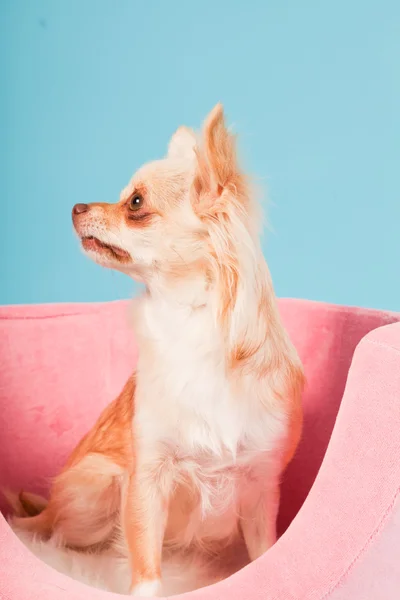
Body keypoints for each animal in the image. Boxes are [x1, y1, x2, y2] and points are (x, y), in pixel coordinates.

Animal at [10, 104, 304, 596]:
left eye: (135, 204)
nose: (75, 206)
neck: (185, 320)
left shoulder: (260, 487)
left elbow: (266, 554)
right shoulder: (146, 478)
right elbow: (146, 567)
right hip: (99, 488)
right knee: (55, 536)